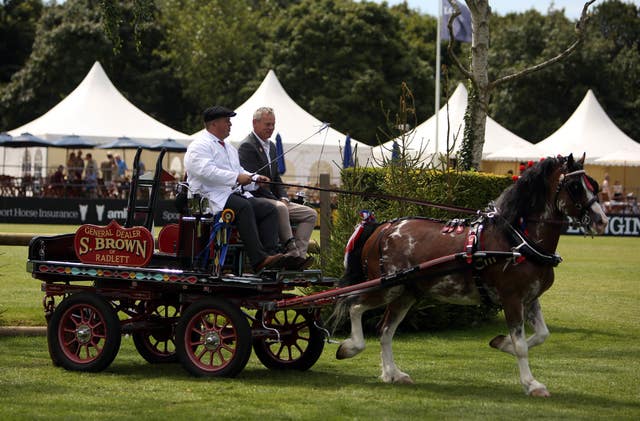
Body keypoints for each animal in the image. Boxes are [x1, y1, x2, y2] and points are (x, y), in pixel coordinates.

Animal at [336, 153, 608, 396]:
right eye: (575, 186)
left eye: (593, 184)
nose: (602, 220)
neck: (516, 240)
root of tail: (382, 228)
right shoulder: (511, 299)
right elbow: (521, 345)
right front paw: (531, 384)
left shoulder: (530, 298)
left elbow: (542, 335)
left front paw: (501, 343)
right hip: (386, 287)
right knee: (354, 305)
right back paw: (351, 347)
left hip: (406, 293)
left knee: (384, 330)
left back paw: (392, 373)